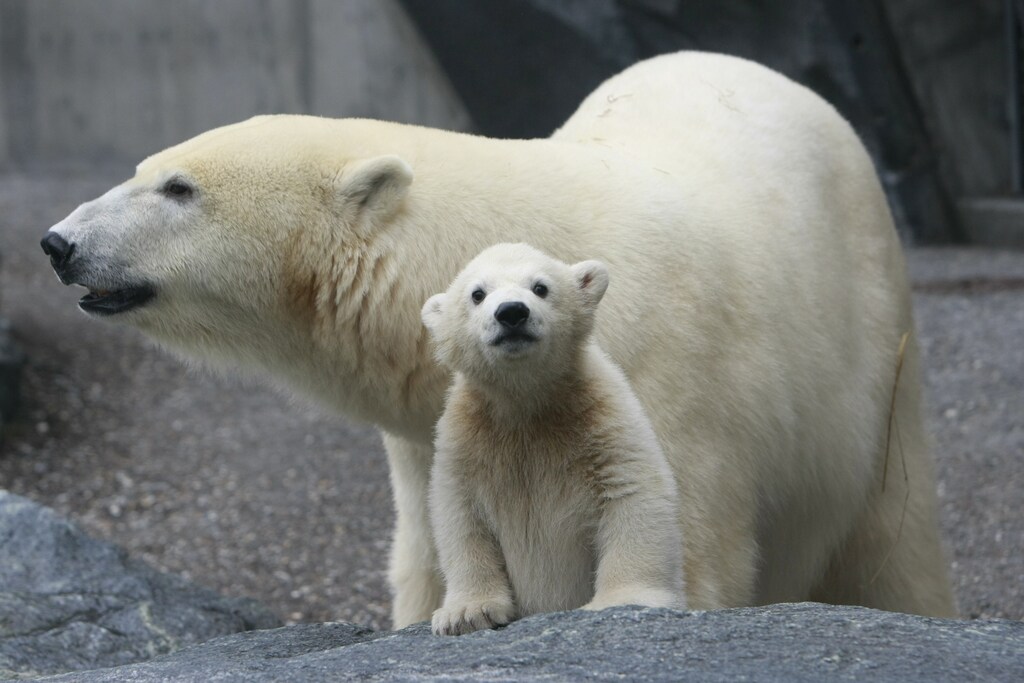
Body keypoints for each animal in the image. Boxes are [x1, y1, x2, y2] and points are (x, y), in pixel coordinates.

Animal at [421, 243, 686, 635]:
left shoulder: (604, 420)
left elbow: (633, 493)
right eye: (477, 294)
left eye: (540, 287)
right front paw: (467, 613)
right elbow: (461, 516)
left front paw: (623, 599)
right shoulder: (466, 441)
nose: (511, 312)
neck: (526, 403)